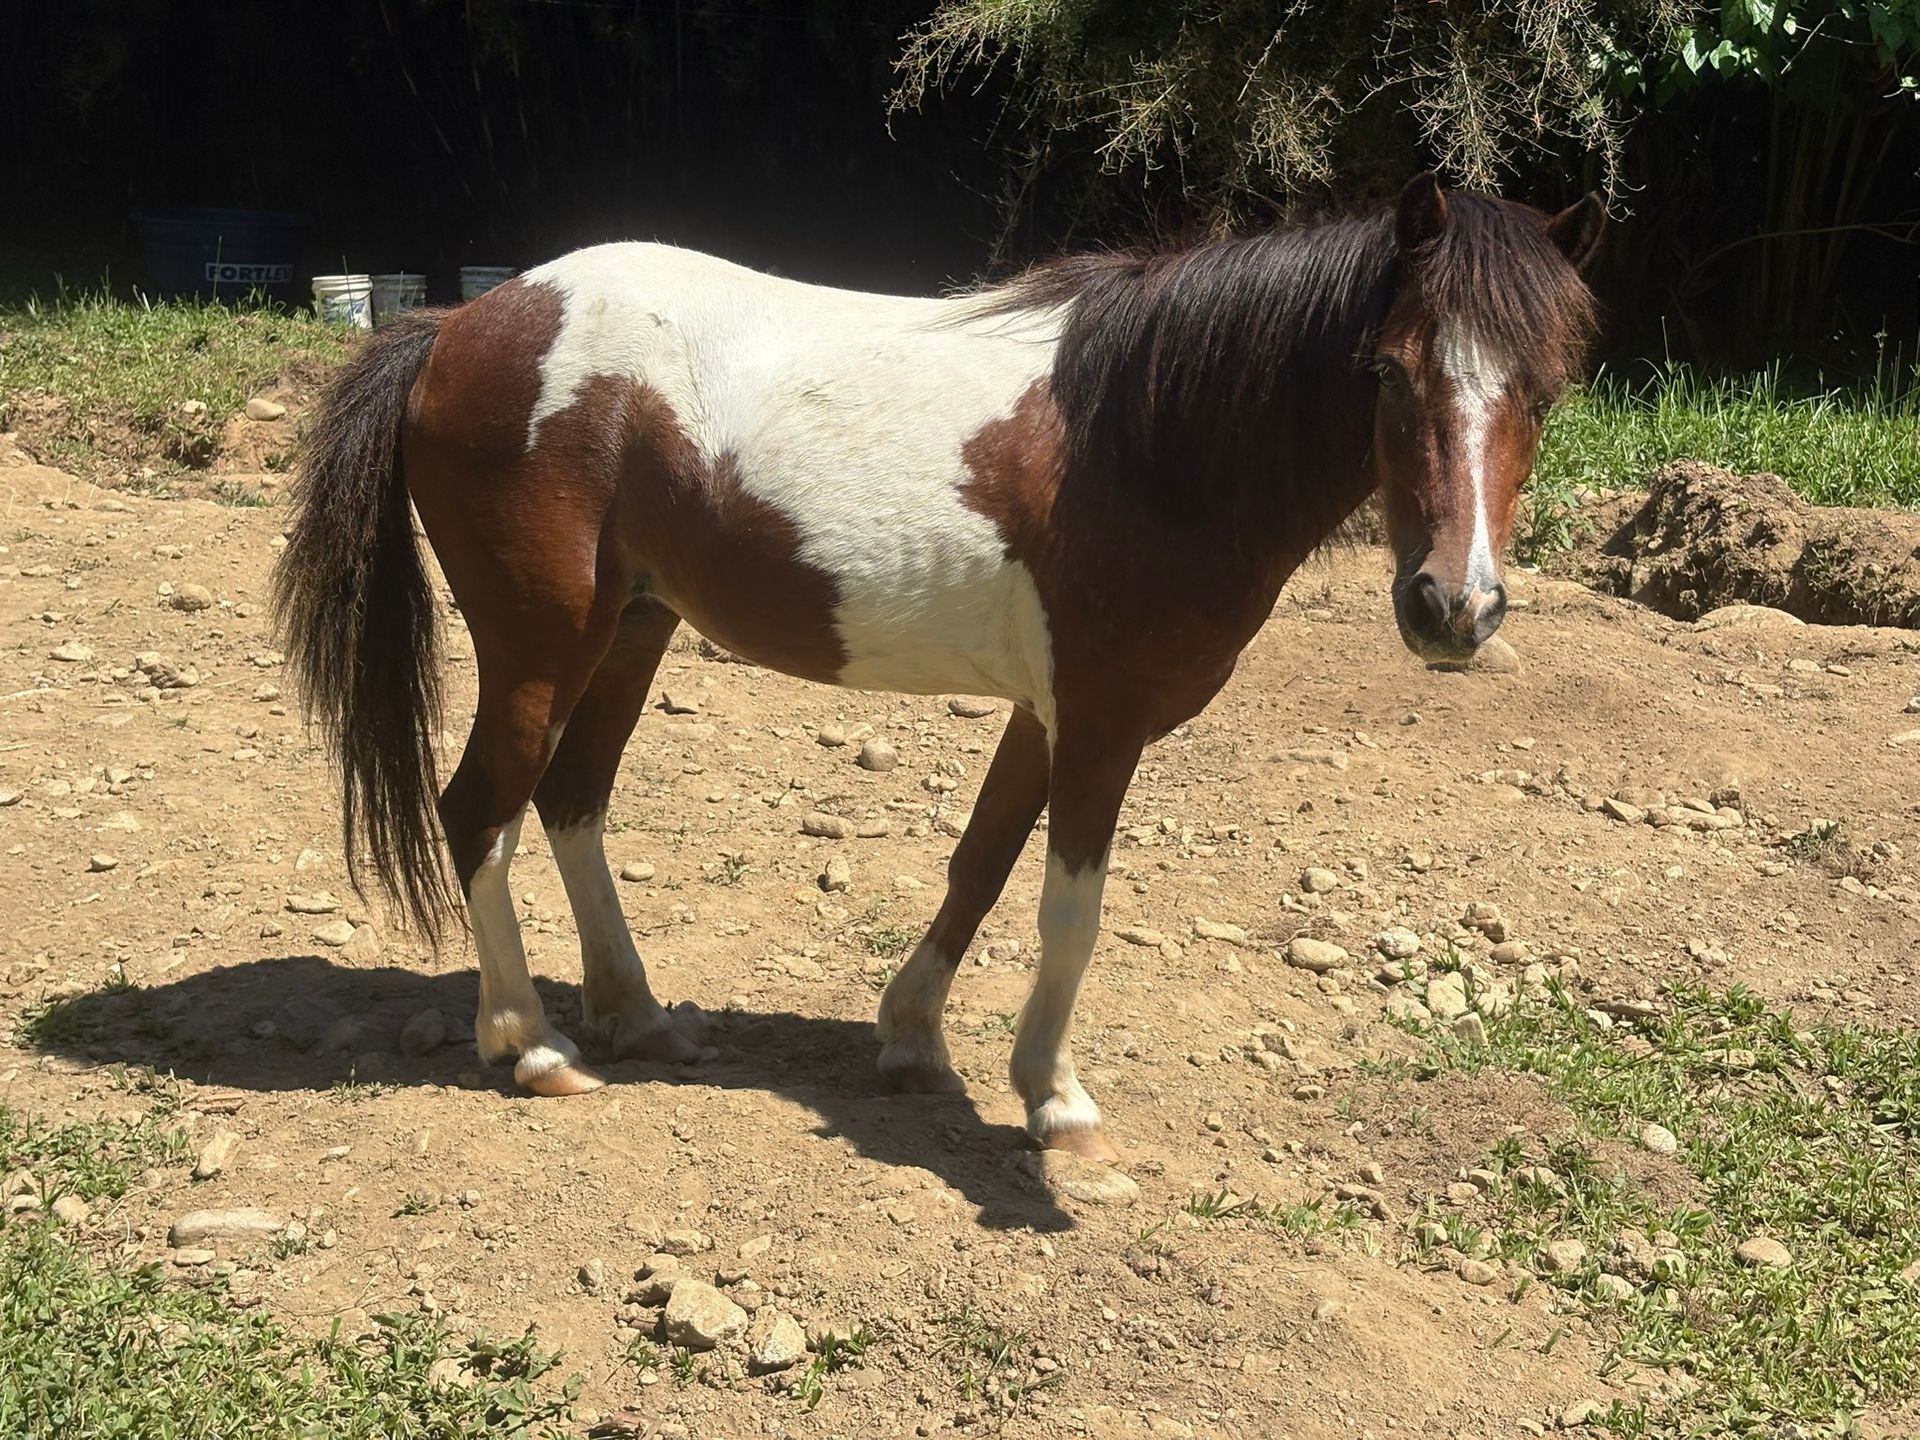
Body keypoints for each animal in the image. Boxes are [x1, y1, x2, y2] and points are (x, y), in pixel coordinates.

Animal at [271, 173, 1601, 1163]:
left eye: (1545, 387)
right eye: (1386, 370)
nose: (1454, 608)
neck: (1146, 438)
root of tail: (458, 326)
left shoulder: (1050, 713)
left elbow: (981, 863)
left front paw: (912, 1036)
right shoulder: (1103, 721)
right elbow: (1070, 906)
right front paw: (1054, 1096)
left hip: (632, 631)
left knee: (570, 802)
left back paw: (635, 1018)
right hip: (542, 646)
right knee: (478, 813)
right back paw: (531, 1045)